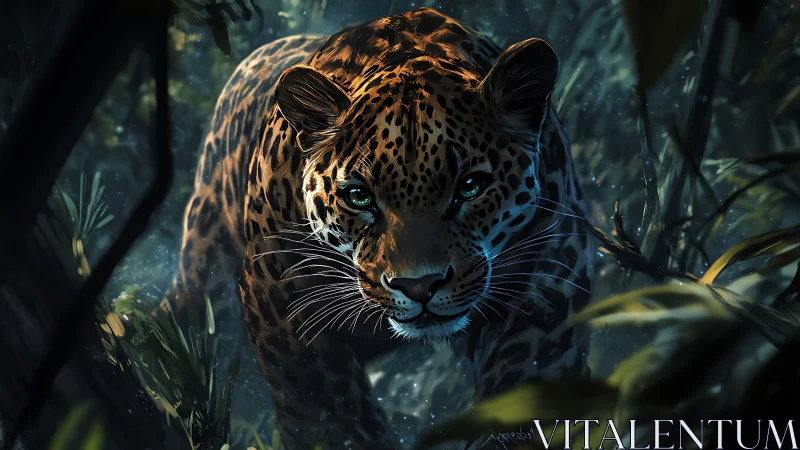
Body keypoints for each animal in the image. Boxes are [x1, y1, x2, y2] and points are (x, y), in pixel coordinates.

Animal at [174, 8, 593, 449]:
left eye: (469, 186)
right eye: (359, 196)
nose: (419, 286)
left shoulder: (548, 282)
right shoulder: (279, 308)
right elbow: (328, 419)